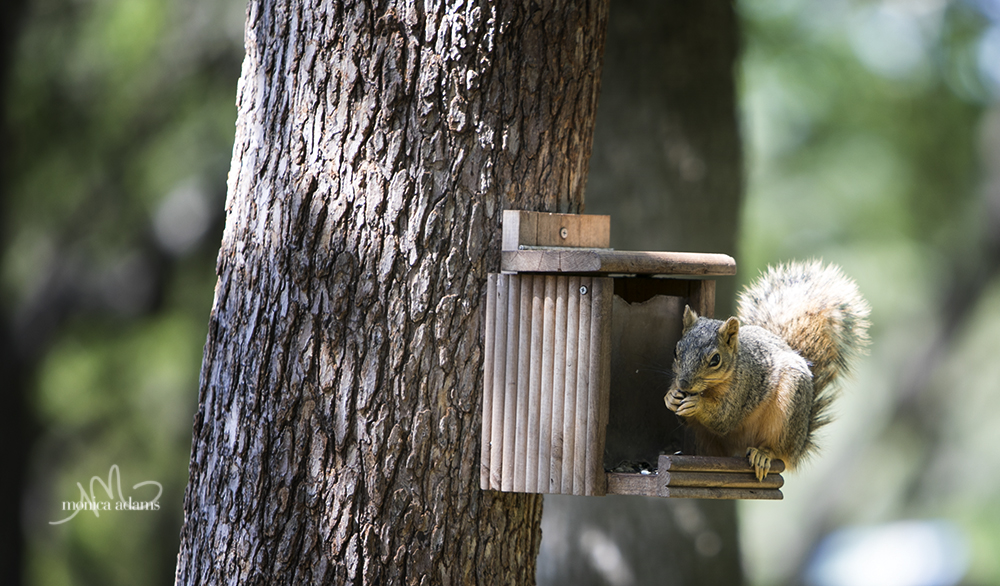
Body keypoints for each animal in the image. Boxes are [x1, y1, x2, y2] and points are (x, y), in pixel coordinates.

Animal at [664, 260, 868, 480]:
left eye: (715, 360)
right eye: (675, 351)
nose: (684, 384)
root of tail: (800, 442)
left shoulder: (743, 388)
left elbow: (724, 418)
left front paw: (697, 403)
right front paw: (670, 396)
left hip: (788, 412)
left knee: (778, 450)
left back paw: (763, 454)